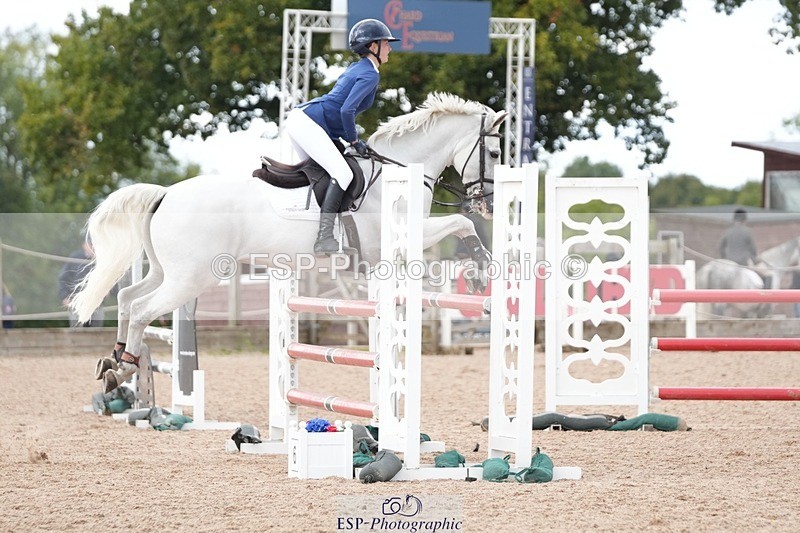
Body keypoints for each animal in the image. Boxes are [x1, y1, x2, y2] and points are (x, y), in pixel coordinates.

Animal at [70, 92, 507, 393]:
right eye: (495, 151)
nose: (488, 203)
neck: (399, 171)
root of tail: (165, 194)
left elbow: (456, 227)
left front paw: (478, 271)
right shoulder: (399, 239)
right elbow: (459, 223)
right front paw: (481, 271)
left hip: (168, 271)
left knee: (127, 299)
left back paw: (114, 365)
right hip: (190, 278)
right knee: (141, 309)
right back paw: (126, 365)